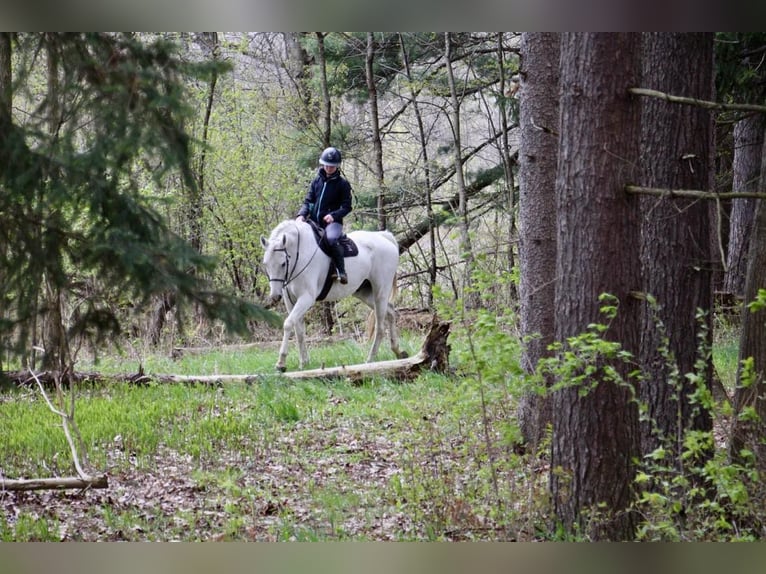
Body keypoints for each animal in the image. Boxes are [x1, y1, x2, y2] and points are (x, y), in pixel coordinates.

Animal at [260, 220, 412, 374]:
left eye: (283, 263)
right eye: (265, 264)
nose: (275, 296)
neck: (300, 253)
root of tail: (385, 237)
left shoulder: (306, 298)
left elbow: (288, 324)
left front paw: (281, 363)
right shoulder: (290, 301)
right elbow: (299, 331)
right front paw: (304, 363)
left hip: (380, 291)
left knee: (380, 327)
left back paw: (370, 359)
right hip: (365, 293)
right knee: (391, 311)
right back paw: (398, 351)